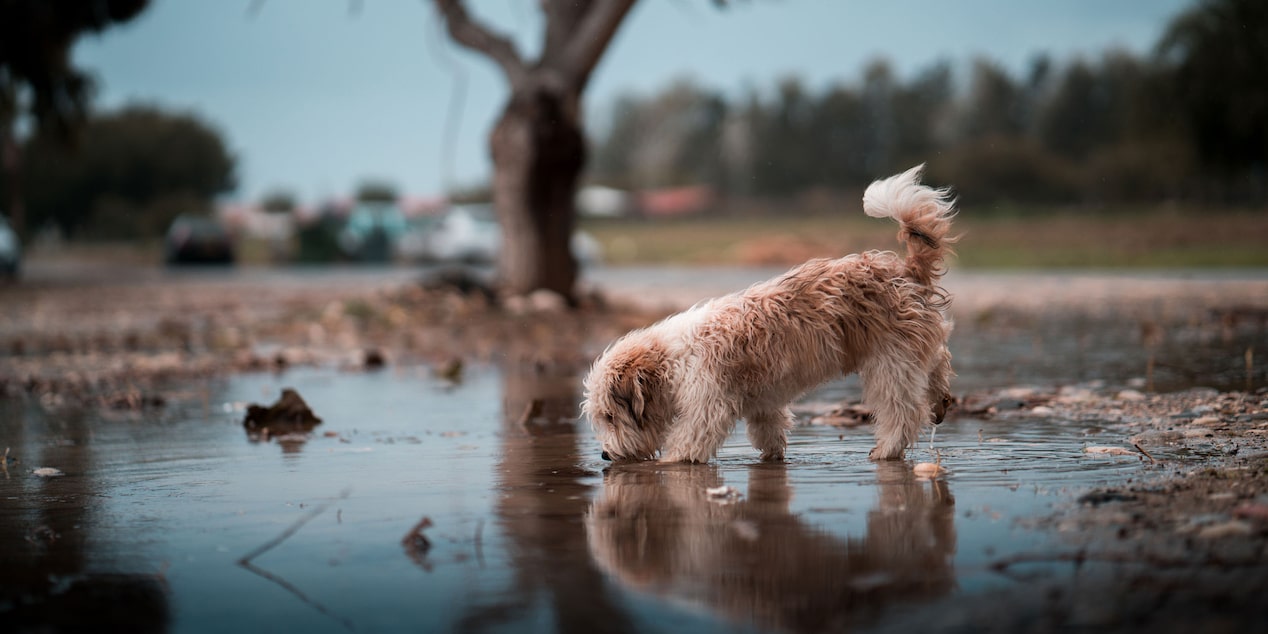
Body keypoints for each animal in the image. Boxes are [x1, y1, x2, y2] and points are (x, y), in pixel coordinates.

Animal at [580, 163, 953, 464]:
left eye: (610, 416)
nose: (605, 455)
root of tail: (905, 272)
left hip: (890, 361)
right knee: (939, 359)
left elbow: (690, 439)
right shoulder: (763, 402)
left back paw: (887, 449)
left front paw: (671, 463)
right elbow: (768, 429)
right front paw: (772, 457)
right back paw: (941, 402)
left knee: (903, 411)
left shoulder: (708, 403)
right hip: (909, 352)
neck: (671, 361)